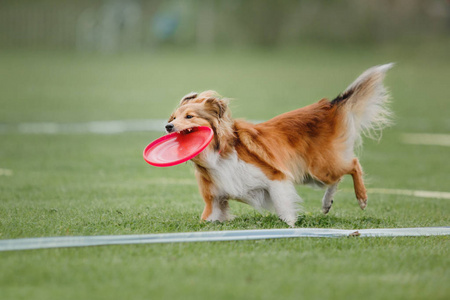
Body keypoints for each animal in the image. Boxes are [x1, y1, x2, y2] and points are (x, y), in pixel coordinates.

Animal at [164, 63, 390, 227]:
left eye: (189, 116)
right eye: (173, 117)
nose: (167, 126)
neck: (218, 154)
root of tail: (328, 106)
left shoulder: (276, 177)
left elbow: (284, 207)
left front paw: (290, 227)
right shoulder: (215, 199)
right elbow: (209, 217)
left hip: (320, 168)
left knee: (353, 164)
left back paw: (361, 198)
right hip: (311, 175)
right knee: (338, 177)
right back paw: (327, 204)